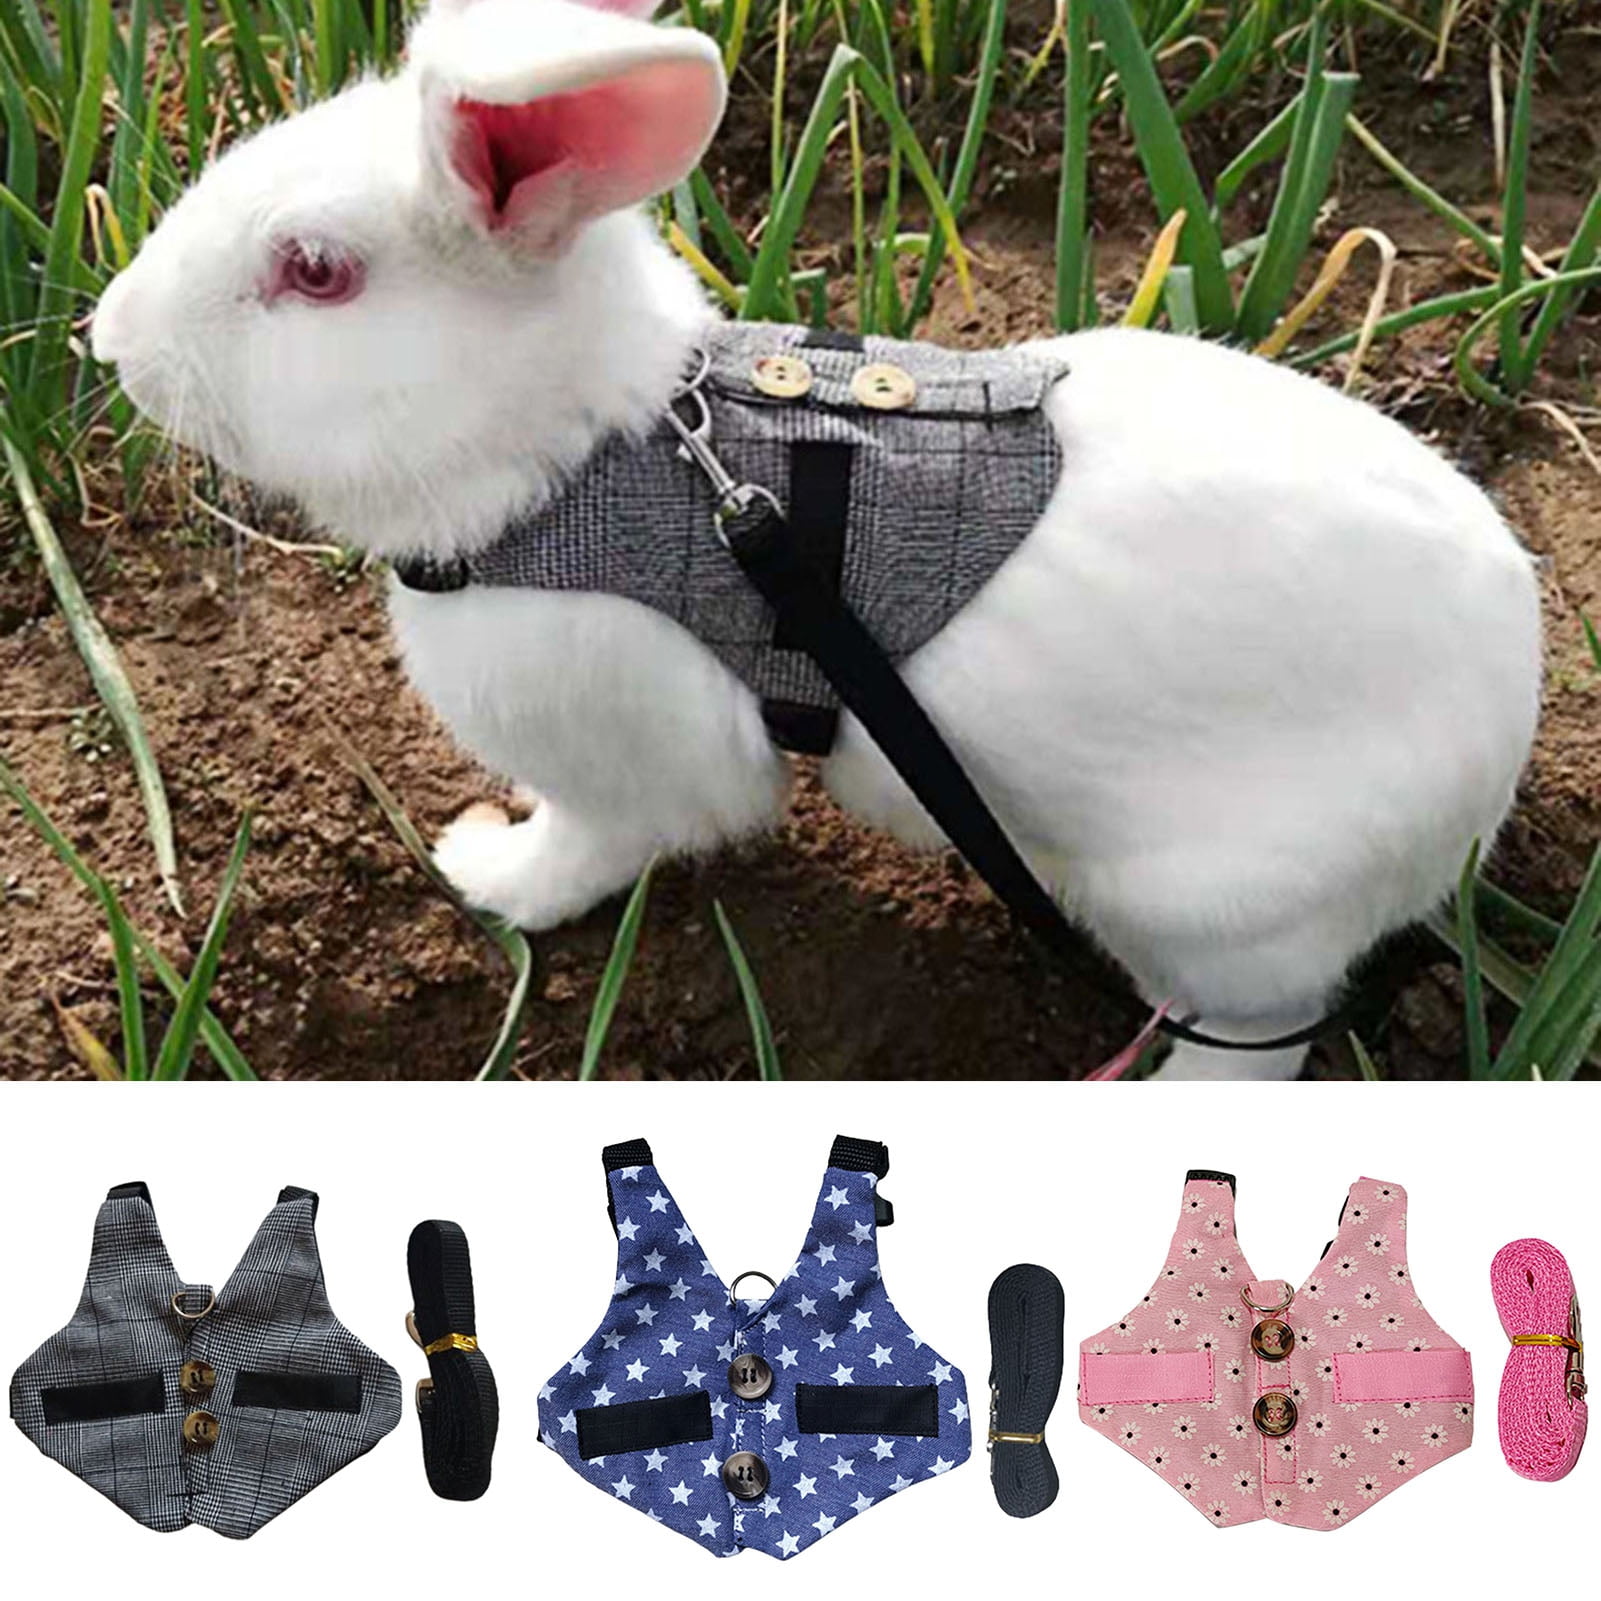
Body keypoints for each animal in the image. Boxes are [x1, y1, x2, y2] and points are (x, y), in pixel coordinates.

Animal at [89, 0, 1543, 1081]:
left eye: (316, 272)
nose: (109, 342)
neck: (585, 453)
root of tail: (1504, 731)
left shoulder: (628, 764)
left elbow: (590, 845)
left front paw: (488, 872)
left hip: (1229, 916)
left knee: (1252, 1039)